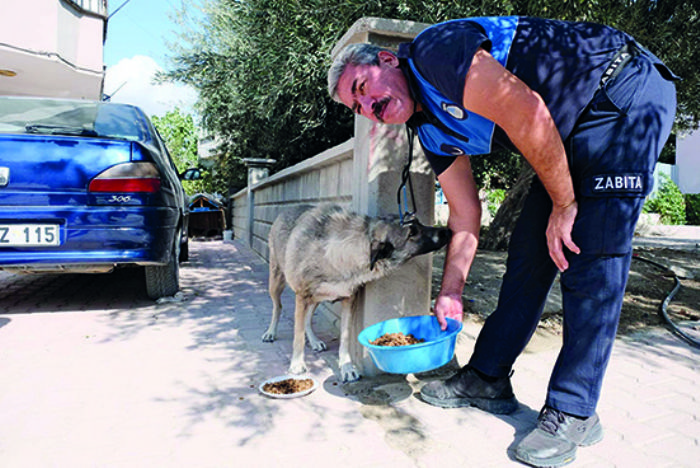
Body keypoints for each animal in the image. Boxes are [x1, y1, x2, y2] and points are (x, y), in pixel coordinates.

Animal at [260, 203, 452, 382]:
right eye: (411, 233)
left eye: (419, 222)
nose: (447, 231)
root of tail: (286, 210)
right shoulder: (302, 296)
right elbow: (298, 336)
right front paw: (297, 364)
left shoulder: (348, 300)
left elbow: (345, 337)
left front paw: (346, 367)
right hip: (277, 283)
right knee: (278, 307)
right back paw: (270, 332)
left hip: (316, 298)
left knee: (307, 318)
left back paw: (314, 341)